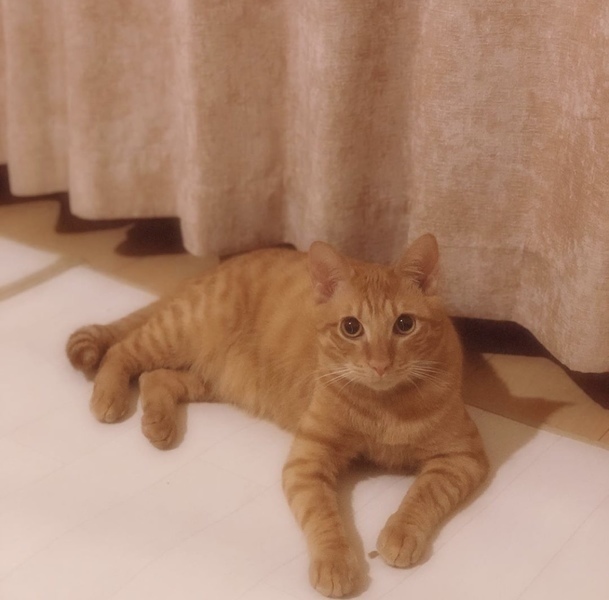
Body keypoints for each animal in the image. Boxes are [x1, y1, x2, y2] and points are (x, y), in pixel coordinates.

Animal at [66, 233, 489, 598]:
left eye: (404, 324)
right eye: (352, 328)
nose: (380, 364)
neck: (383, 406)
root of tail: (216, 268)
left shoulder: (462, 458)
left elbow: (424, 494)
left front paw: (401, 532)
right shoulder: (307, 462)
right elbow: (323, 517)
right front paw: (335, 562)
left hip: (213, 379)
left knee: (156, 377)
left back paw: (159, 424)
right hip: (176, 334)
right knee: (121, 352)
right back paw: (108, 397)